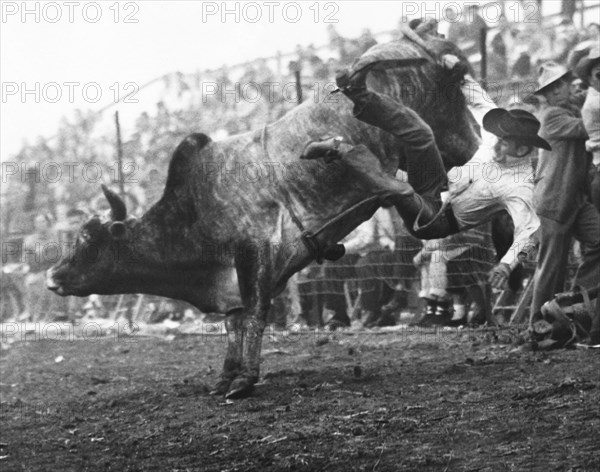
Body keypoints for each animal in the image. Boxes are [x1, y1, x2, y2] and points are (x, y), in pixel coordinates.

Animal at [47, 30, 480, 398]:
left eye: (88, 240)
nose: (52, 275)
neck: (193, 211)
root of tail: (429, 44)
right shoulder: (233, 282)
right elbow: (234, 323)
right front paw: (226, 376)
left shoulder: (254, 251)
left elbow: (255, 314)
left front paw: (244, 381)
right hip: (444, 148)